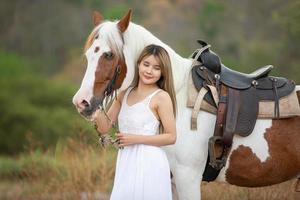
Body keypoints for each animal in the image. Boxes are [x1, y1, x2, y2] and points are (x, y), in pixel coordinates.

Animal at [72, 9, 300, 200]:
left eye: (109, 54)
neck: (178, 97)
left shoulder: (187, 177)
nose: (81, 102)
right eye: (88, 55)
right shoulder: (171, 180)